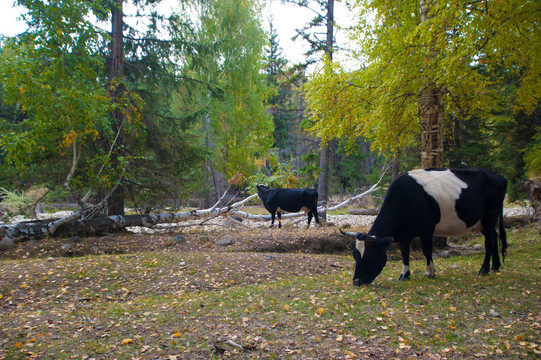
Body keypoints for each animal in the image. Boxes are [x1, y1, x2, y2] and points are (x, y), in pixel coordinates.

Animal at [340, 169, 508, 286]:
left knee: (489, 241)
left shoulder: (427, 229)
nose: (357, 281)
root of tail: (499, 177)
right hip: (485, 221)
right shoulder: (404, 235)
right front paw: (405, 275)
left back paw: (484, 270)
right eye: (355, 255)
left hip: (490, 215)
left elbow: (427, 250)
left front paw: (430, 272)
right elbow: (405, 253)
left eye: (369, 256)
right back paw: (495, 267)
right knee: (494, 237)